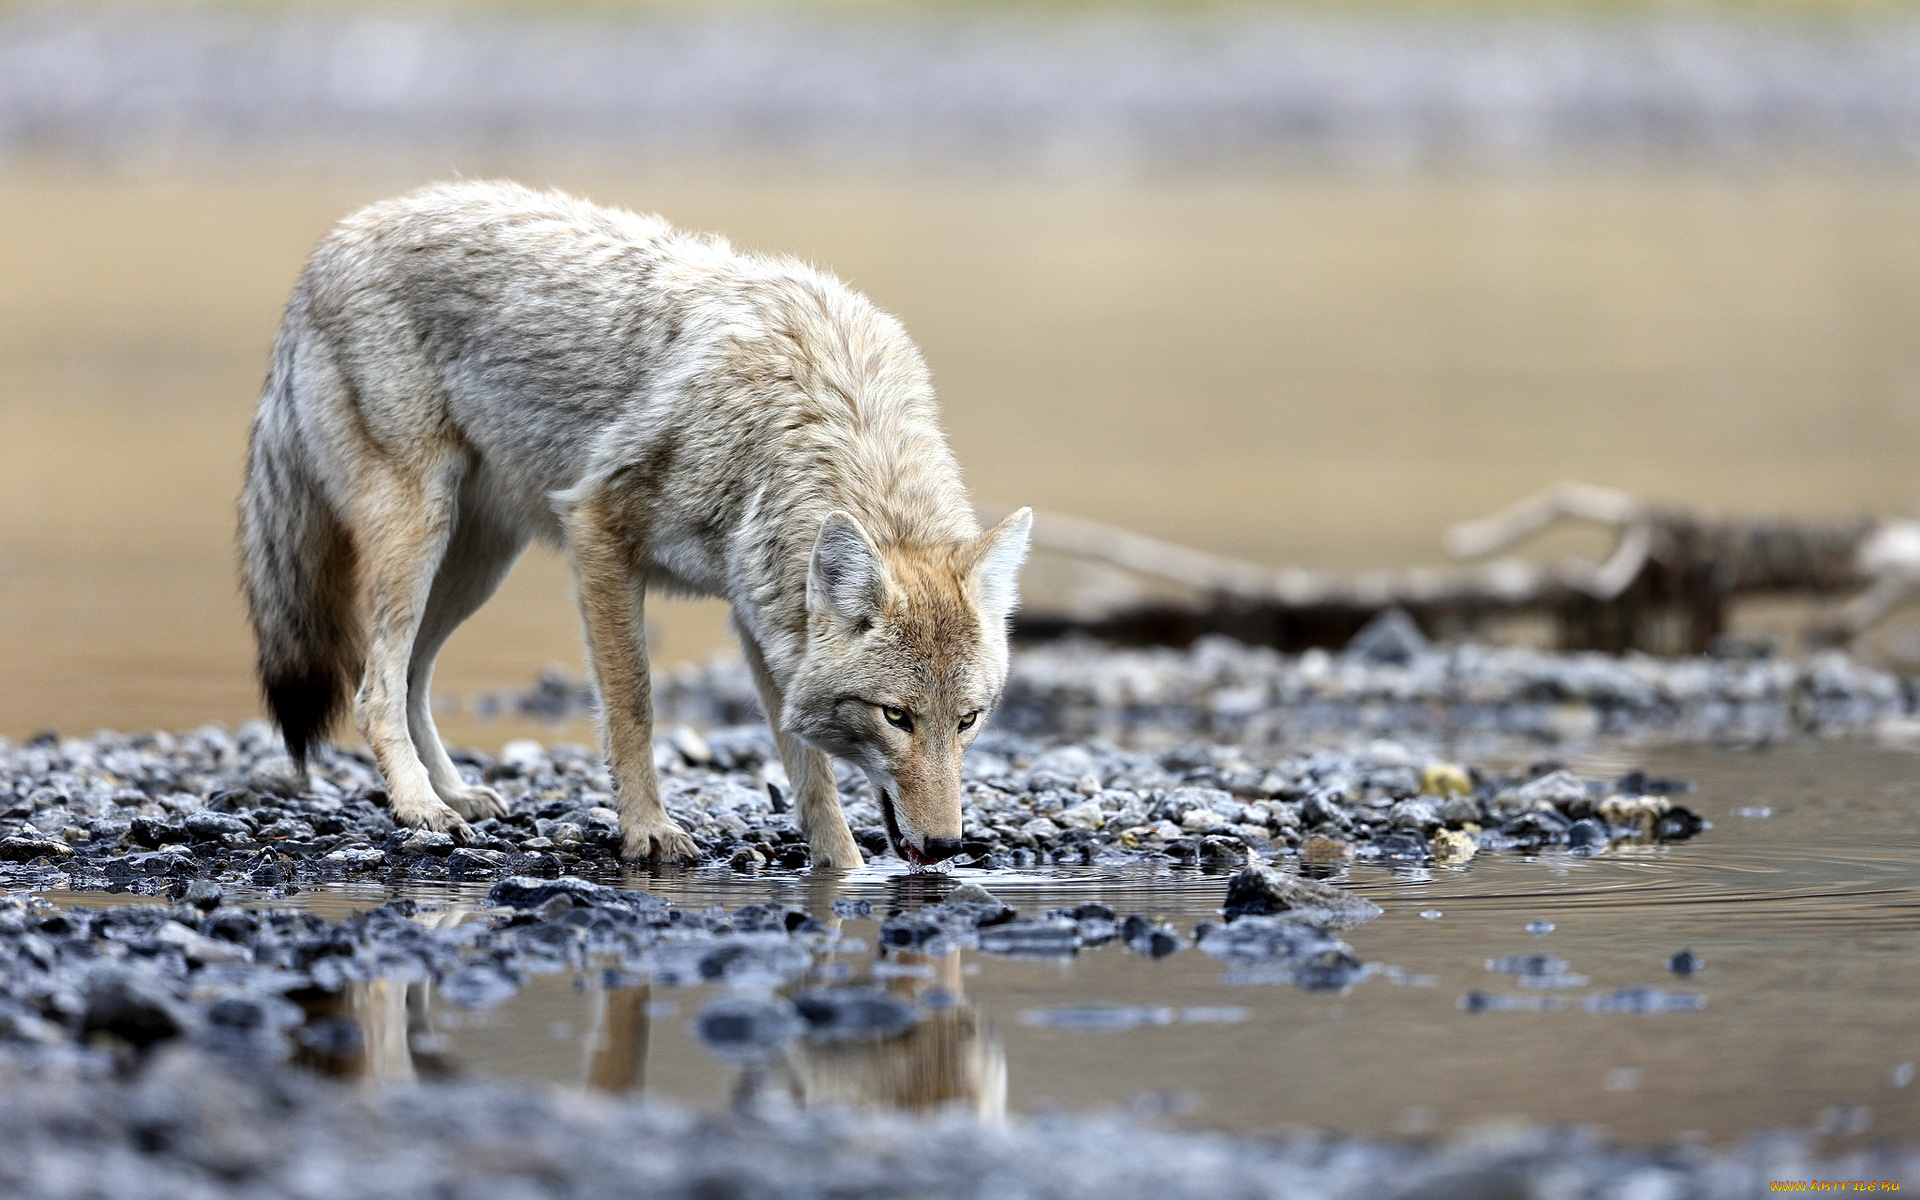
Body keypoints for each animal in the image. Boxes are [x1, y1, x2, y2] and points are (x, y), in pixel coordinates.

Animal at [241, 180, 1036, 871]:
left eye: (967, 720)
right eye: (896, 717)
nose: (947, 848)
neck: (808, 422)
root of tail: (332, 242)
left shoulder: (759, 614)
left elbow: (808, 771)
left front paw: (842, 872)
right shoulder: (598, 530)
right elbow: (634, 707)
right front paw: (647, 830)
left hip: (474, 568)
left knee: (411, 677)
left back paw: (455, 792)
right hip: (421, 537)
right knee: (375, 687)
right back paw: (419, 806)